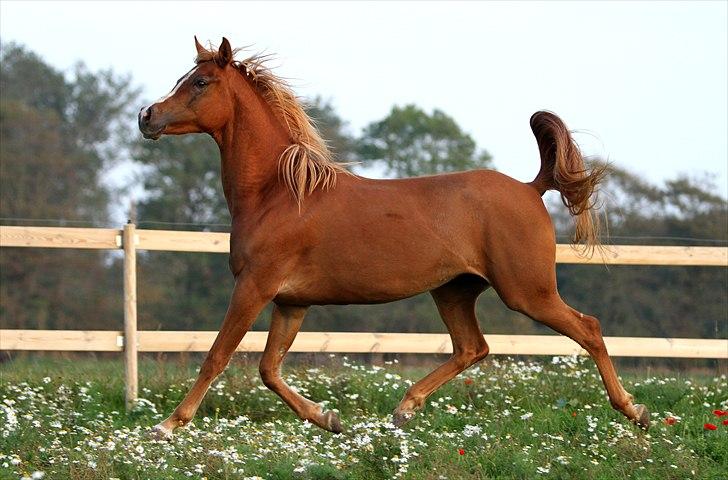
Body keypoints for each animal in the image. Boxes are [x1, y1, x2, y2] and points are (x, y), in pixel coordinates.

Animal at [139, 35, 652, 436]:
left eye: (200, 82)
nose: (147, 116)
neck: (279, 193)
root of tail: (530, 188)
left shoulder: (254, 287)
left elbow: (217, 355)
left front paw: (167, 426)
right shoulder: (291, 301)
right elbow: (269, 369)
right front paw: (329, 419)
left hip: (527, 291)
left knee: (589, 328)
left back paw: (635, 411)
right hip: (454, 291)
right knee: (472, 347)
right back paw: (404, 409)